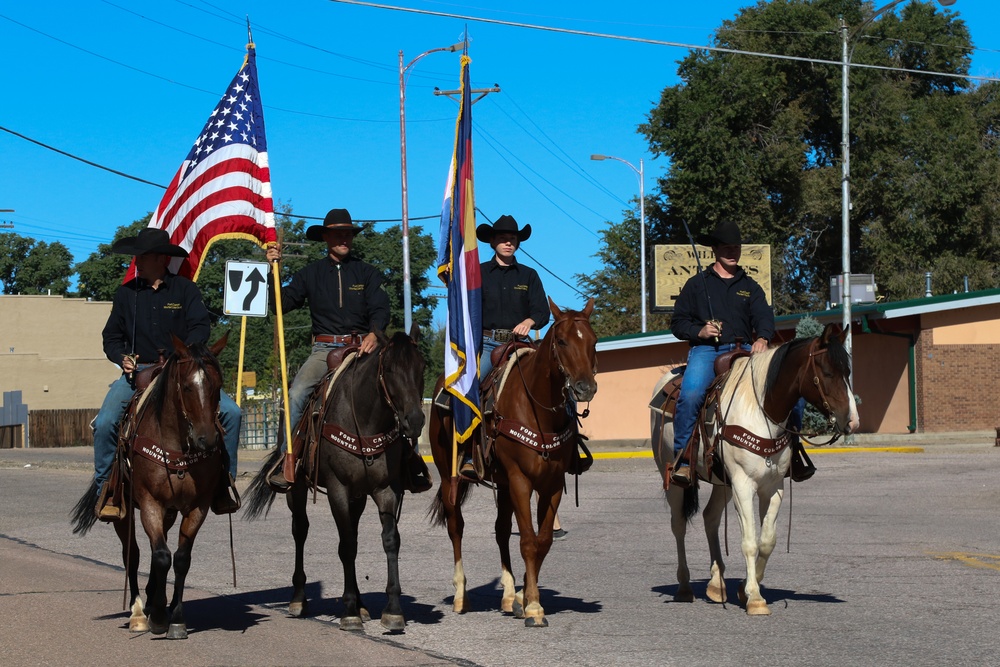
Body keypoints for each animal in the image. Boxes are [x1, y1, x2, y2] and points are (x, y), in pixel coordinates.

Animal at [70, 334, 229, 640]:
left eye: (218, 385)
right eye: (187, 386)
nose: (206, 440)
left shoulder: (197, 507)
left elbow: (179, 558)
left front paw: (175, 618)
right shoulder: (149, 504)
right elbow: (161, 556)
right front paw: (155, 616)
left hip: (169, 512)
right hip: (124, 511)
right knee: (133, 555)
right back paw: (138, 612)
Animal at [247, 332, 430, 636]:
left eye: (422, 367)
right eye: (390, 369)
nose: (414, 421)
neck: (366, 421)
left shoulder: (386, 490)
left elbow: (389, 541)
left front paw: (392, 611)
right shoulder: (338, 490)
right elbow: (346, 547)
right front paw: (349, 613)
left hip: (358, 496)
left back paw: (362, 604)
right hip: (297, 490)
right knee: (301, 531)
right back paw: (299, 599)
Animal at [428, 298, 592, 628]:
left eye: (592, 341)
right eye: (562, 341)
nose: (585, 388)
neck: (539, 411)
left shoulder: (552, 484)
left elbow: (543, 541)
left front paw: (525, 598)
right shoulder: (520, 480)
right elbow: (527, 541)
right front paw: (533, 608)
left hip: (502, 485)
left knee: (501, 530)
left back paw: (507, 595)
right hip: (449, 475)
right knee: (456, 526)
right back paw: (460, 596)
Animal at [648, 324, 860, 616]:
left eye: (848, 372)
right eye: (828, 372)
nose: (853, 421)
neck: (761, 411)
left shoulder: (773, 487)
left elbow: (767, 540)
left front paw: (745, 588)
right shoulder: (743, 484)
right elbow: (749, 541)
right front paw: (755, 599)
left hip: (722, 482)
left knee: (710, 517)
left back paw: (717, 585)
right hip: (673, 476)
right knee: (678, 525)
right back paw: (684, 587)